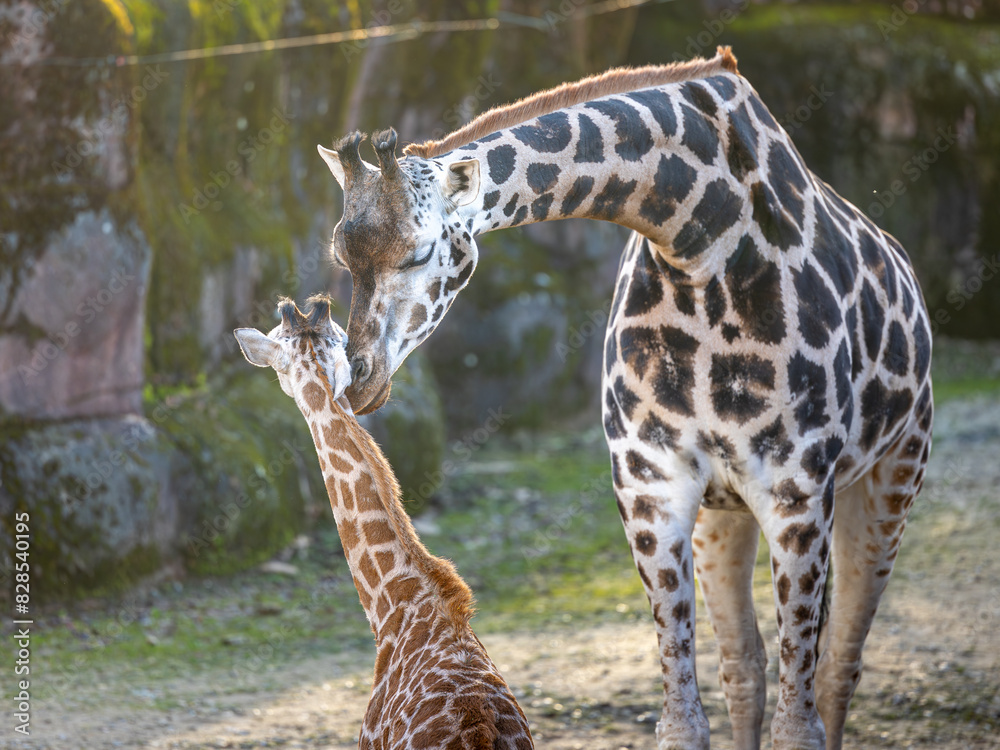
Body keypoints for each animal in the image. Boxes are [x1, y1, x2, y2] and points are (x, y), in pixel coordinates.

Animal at [315, 47, 933, 750]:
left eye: (420, 252)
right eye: (342, 255)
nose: (361, 378)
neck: (699, 240)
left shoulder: (797, 494)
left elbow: (798, 724)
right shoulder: (651, 489)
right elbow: (684, 721)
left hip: (890, 478)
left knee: (838, 666)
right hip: (724, 513)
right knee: (744, 665)